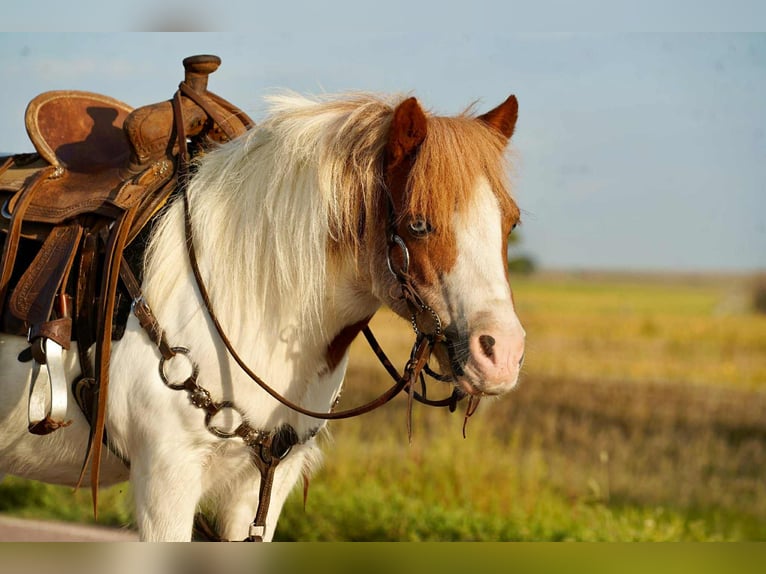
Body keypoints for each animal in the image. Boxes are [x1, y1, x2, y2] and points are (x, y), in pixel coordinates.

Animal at [0, 91, 526, 541]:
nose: (501, 354)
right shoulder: (166, 480)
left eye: (510, 222)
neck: (248, 298)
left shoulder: (265, 484)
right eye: (418, 224)